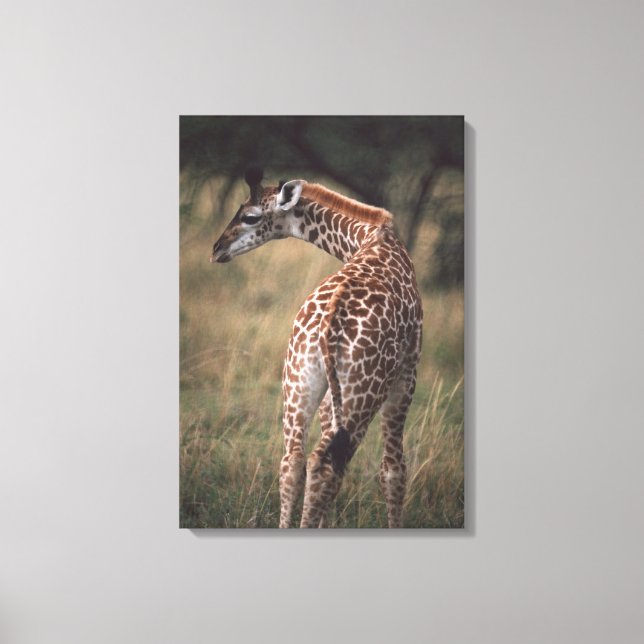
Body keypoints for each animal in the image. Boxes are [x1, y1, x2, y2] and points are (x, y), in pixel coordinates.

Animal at [210, 167, 423, 528]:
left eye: (250, 216)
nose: (216, 248)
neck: (370, 236)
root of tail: (326, 326)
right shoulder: (407, 372)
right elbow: (393, 471)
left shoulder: (329, 397)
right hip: (362, 391)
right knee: (325, 465)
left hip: (299, 380)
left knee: (294, 462)